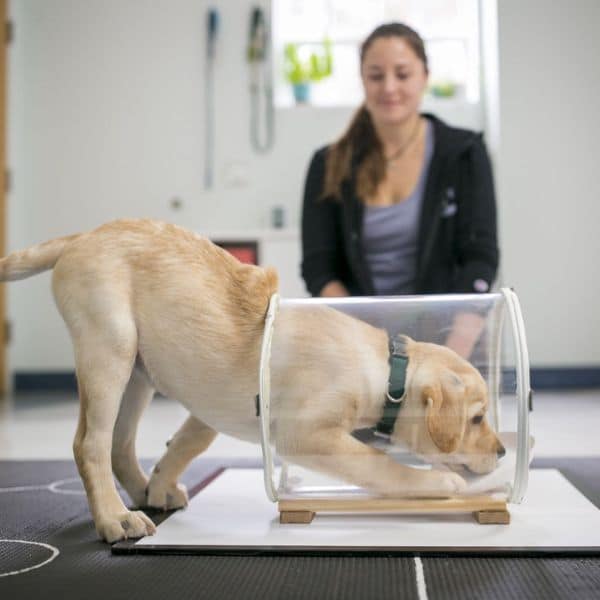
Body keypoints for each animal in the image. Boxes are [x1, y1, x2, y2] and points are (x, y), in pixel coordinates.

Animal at [0, 220, 504, 544]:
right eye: (477, 419)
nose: (502, 452)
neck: (386, 372)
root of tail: (84, 235)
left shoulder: (209, 408)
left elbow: (190, 441)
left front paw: (161, 483)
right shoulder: (305, 434)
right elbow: (381, 466)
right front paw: (438, 482)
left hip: (139, 371)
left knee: (120, 444)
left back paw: (143, 494)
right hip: (110, 348)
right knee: (91, 443)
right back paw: (114, 518)